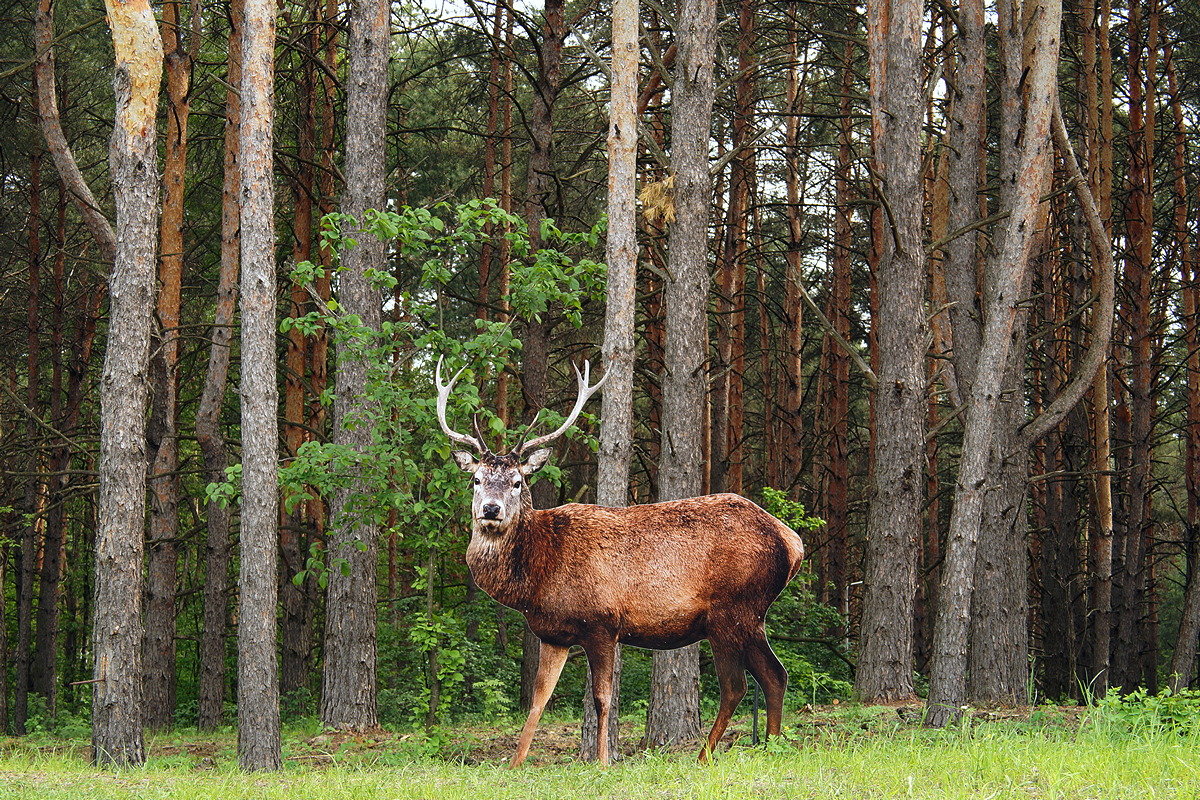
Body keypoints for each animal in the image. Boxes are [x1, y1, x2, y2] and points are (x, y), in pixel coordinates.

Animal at [434, 357, 806, 767]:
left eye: (517, 482)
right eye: (476, 480)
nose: (491, 509)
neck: (537, 576)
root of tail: (793, 543)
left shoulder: (602, 623)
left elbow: (603, 698)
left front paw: (602, 760)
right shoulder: (553, 633)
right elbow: (538, 700)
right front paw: (516, 763)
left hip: (732, 609)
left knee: (736, 685)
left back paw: (705, 755)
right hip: (751, 615)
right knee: (774, 675)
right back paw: (771, 747)